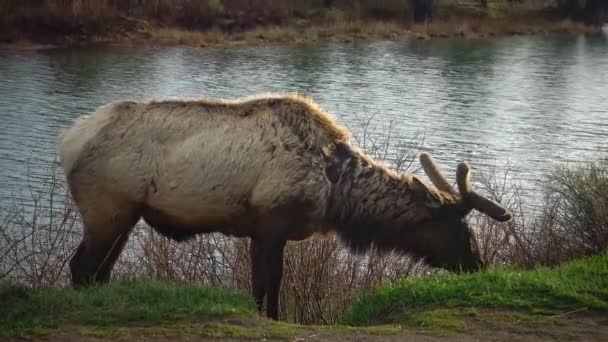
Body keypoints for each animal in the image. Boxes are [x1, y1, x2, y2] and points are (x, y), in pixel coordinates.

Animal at [58, 93, 512, 320]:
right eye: (459, 229)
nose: (478, 265)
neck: (334, 193)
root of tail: (69, 142)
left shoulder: (262, 232)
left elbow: (261, 287)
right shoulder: (271, 226)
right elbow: (271, 287)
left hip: (124, 216)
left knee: (99, 273)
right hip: (106, 209)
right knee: (81, 268)